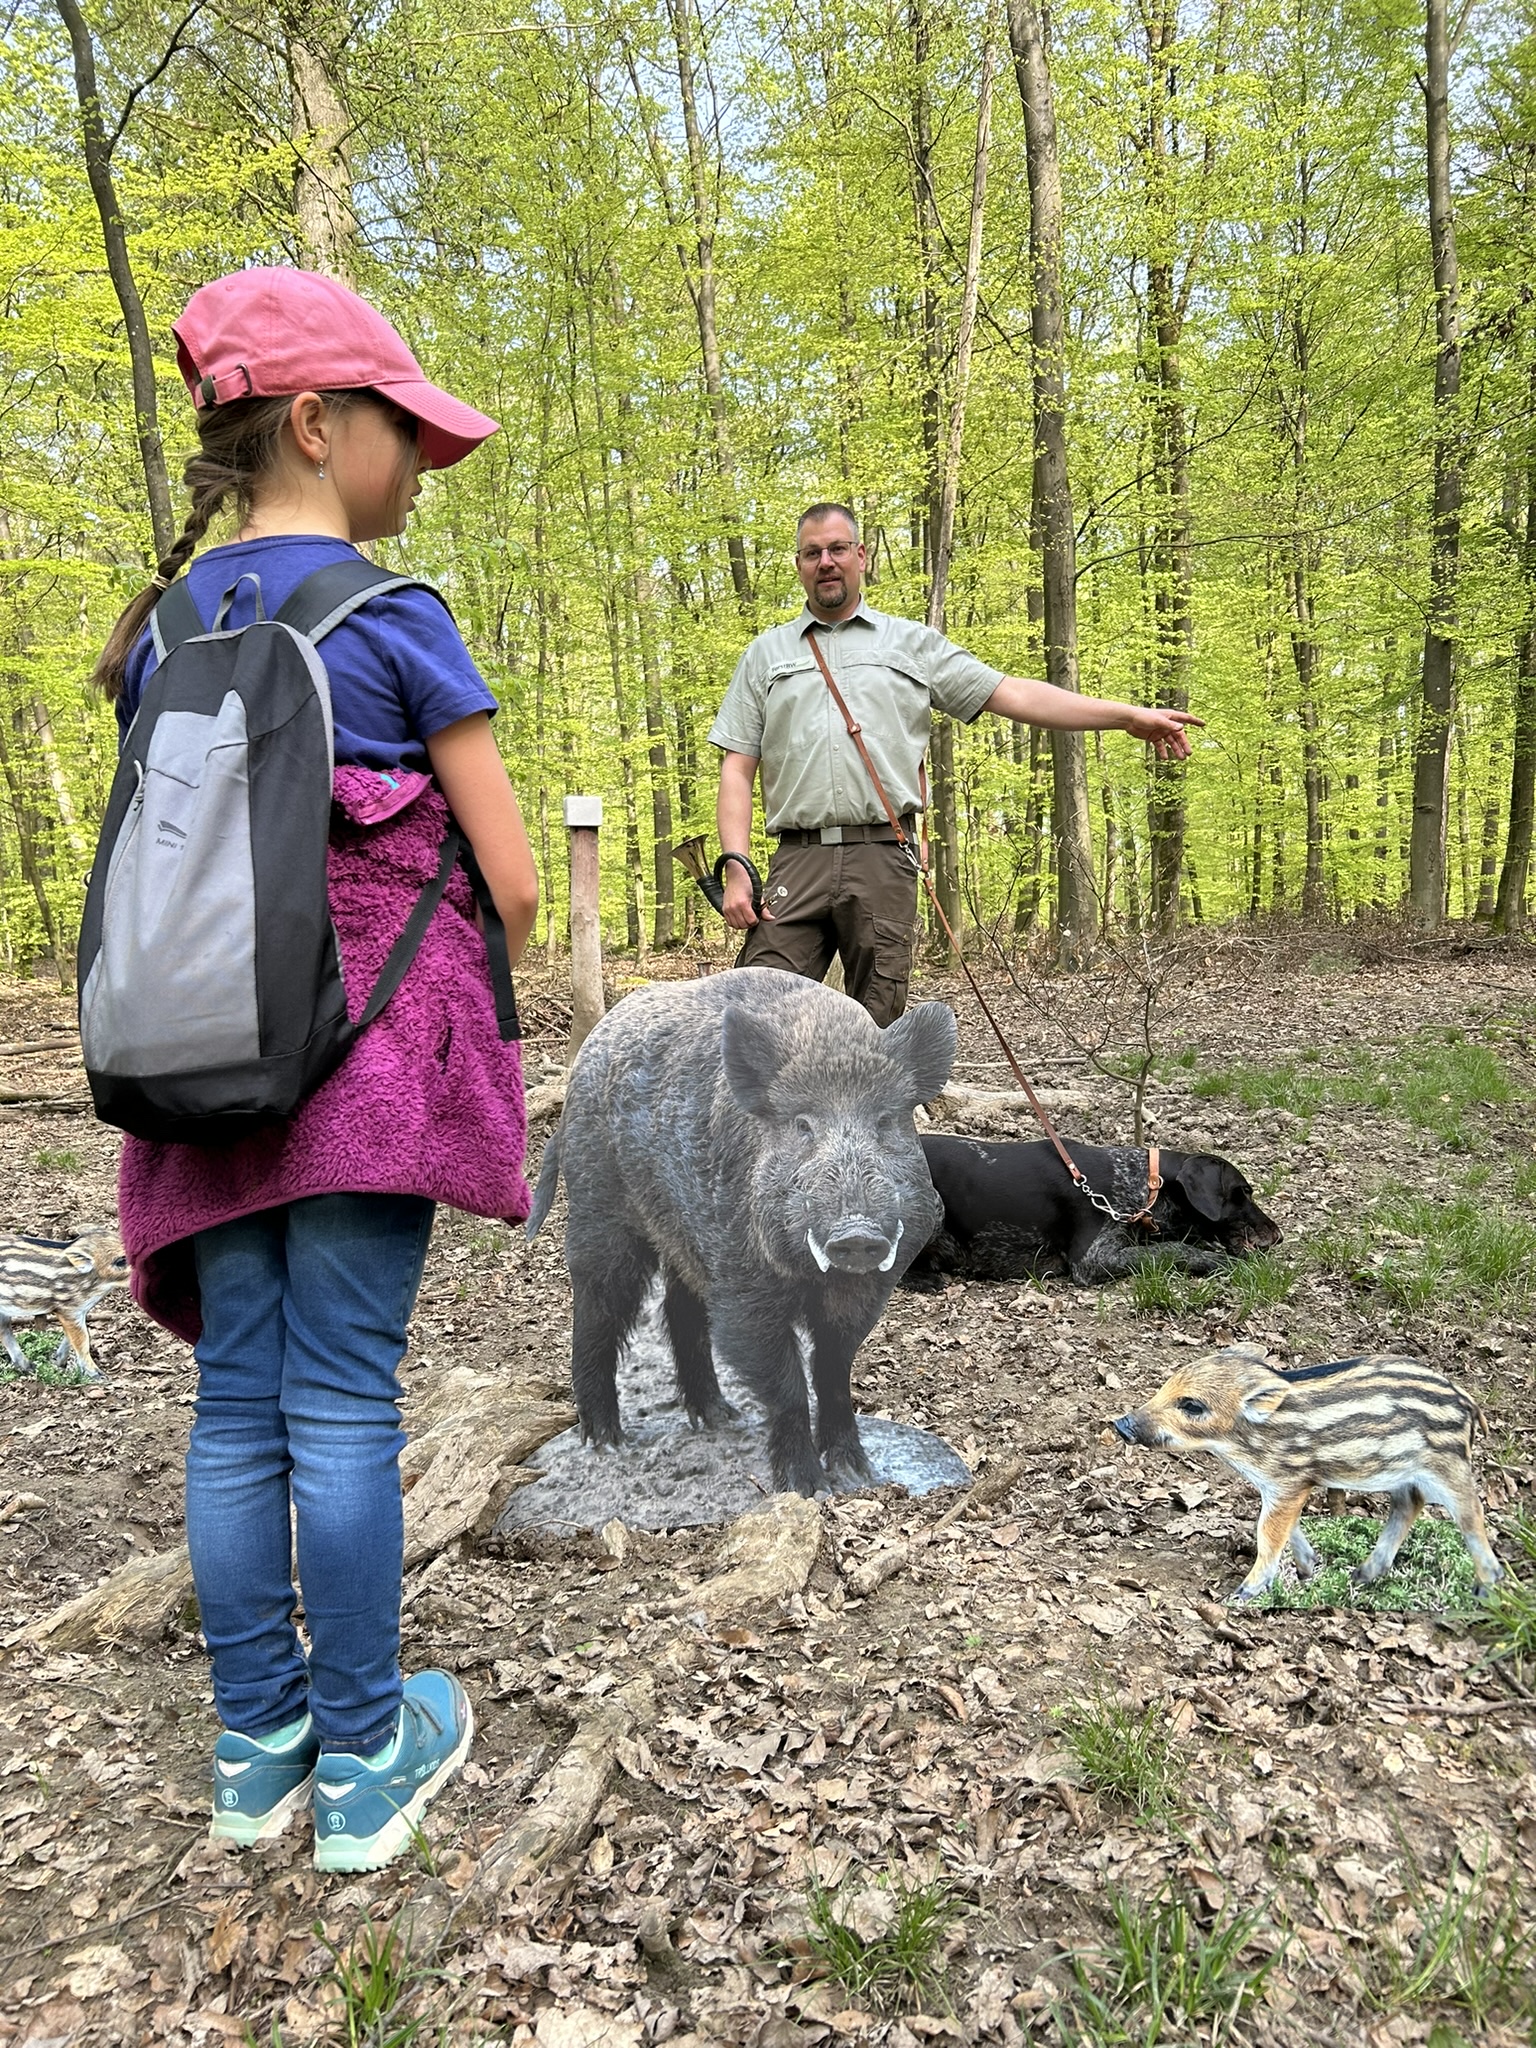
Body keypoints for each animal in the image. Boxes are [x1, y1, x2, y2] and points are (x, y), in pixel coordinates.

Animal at [901, 1138, 1286, 1277]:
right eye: (1242, 1193)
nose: (1279, 1236)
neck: (1145, 1185)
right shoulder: (1092, 1258)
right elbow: (1170, 1250)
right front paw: (1209, 1260)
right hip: (930, 1203)